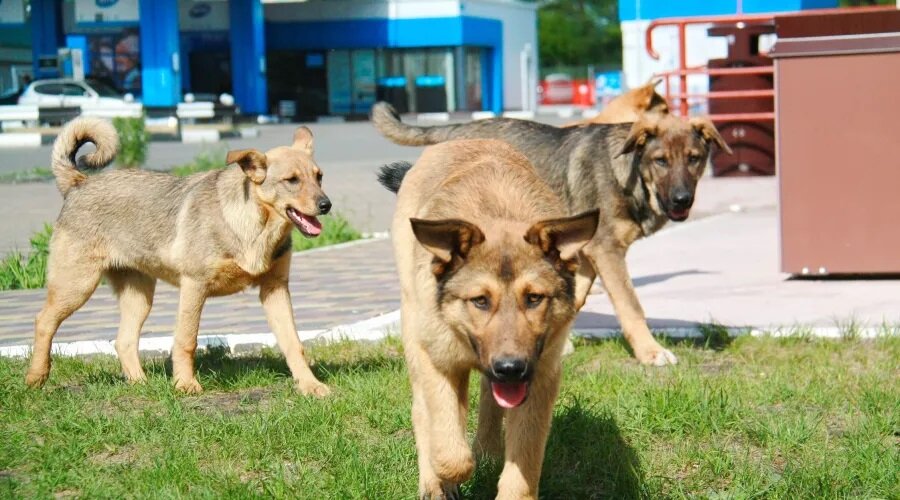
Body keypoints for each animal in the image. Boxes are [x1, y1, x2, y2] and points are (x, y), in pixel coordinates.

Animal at [25, 117, 332, 396]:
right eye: (291, 180)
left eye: (319, 176)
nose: (326, 205)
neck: (255, 227)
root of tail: (79, 183)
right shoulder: (194, 286)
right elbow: (186, 341)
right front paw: (185, 385)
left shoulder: (275, 289)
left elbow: (294, 343)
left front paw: (310, 386)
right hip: (76, 286)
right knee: (43, 321)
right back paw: (36, 377)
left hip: (139, 296)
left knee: (123, 341)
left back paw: (141, 385)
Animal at [372, 102, 731, 366]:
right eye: (661, 161)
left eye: (694, 159)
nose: (682, 200)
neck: (631, 175)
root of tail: (456, 131)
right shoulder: (607, 251)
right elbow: (631, 306)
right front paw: (651, 352)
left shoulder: (581, 255)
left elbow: (575, 296)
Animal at [379, 139, 598, 499]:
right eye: (480, 301)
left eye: (534, 298)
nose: (510, 368)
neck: (498, 215)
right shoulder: (439, 362)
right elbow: (451, 453)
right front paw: (446, 475)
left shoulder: (541, 377)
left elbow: (522, 467)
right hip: (413, 330)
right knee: (423, 412)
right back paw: (433, 482)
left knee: (487, 401)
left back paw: (487, 447)